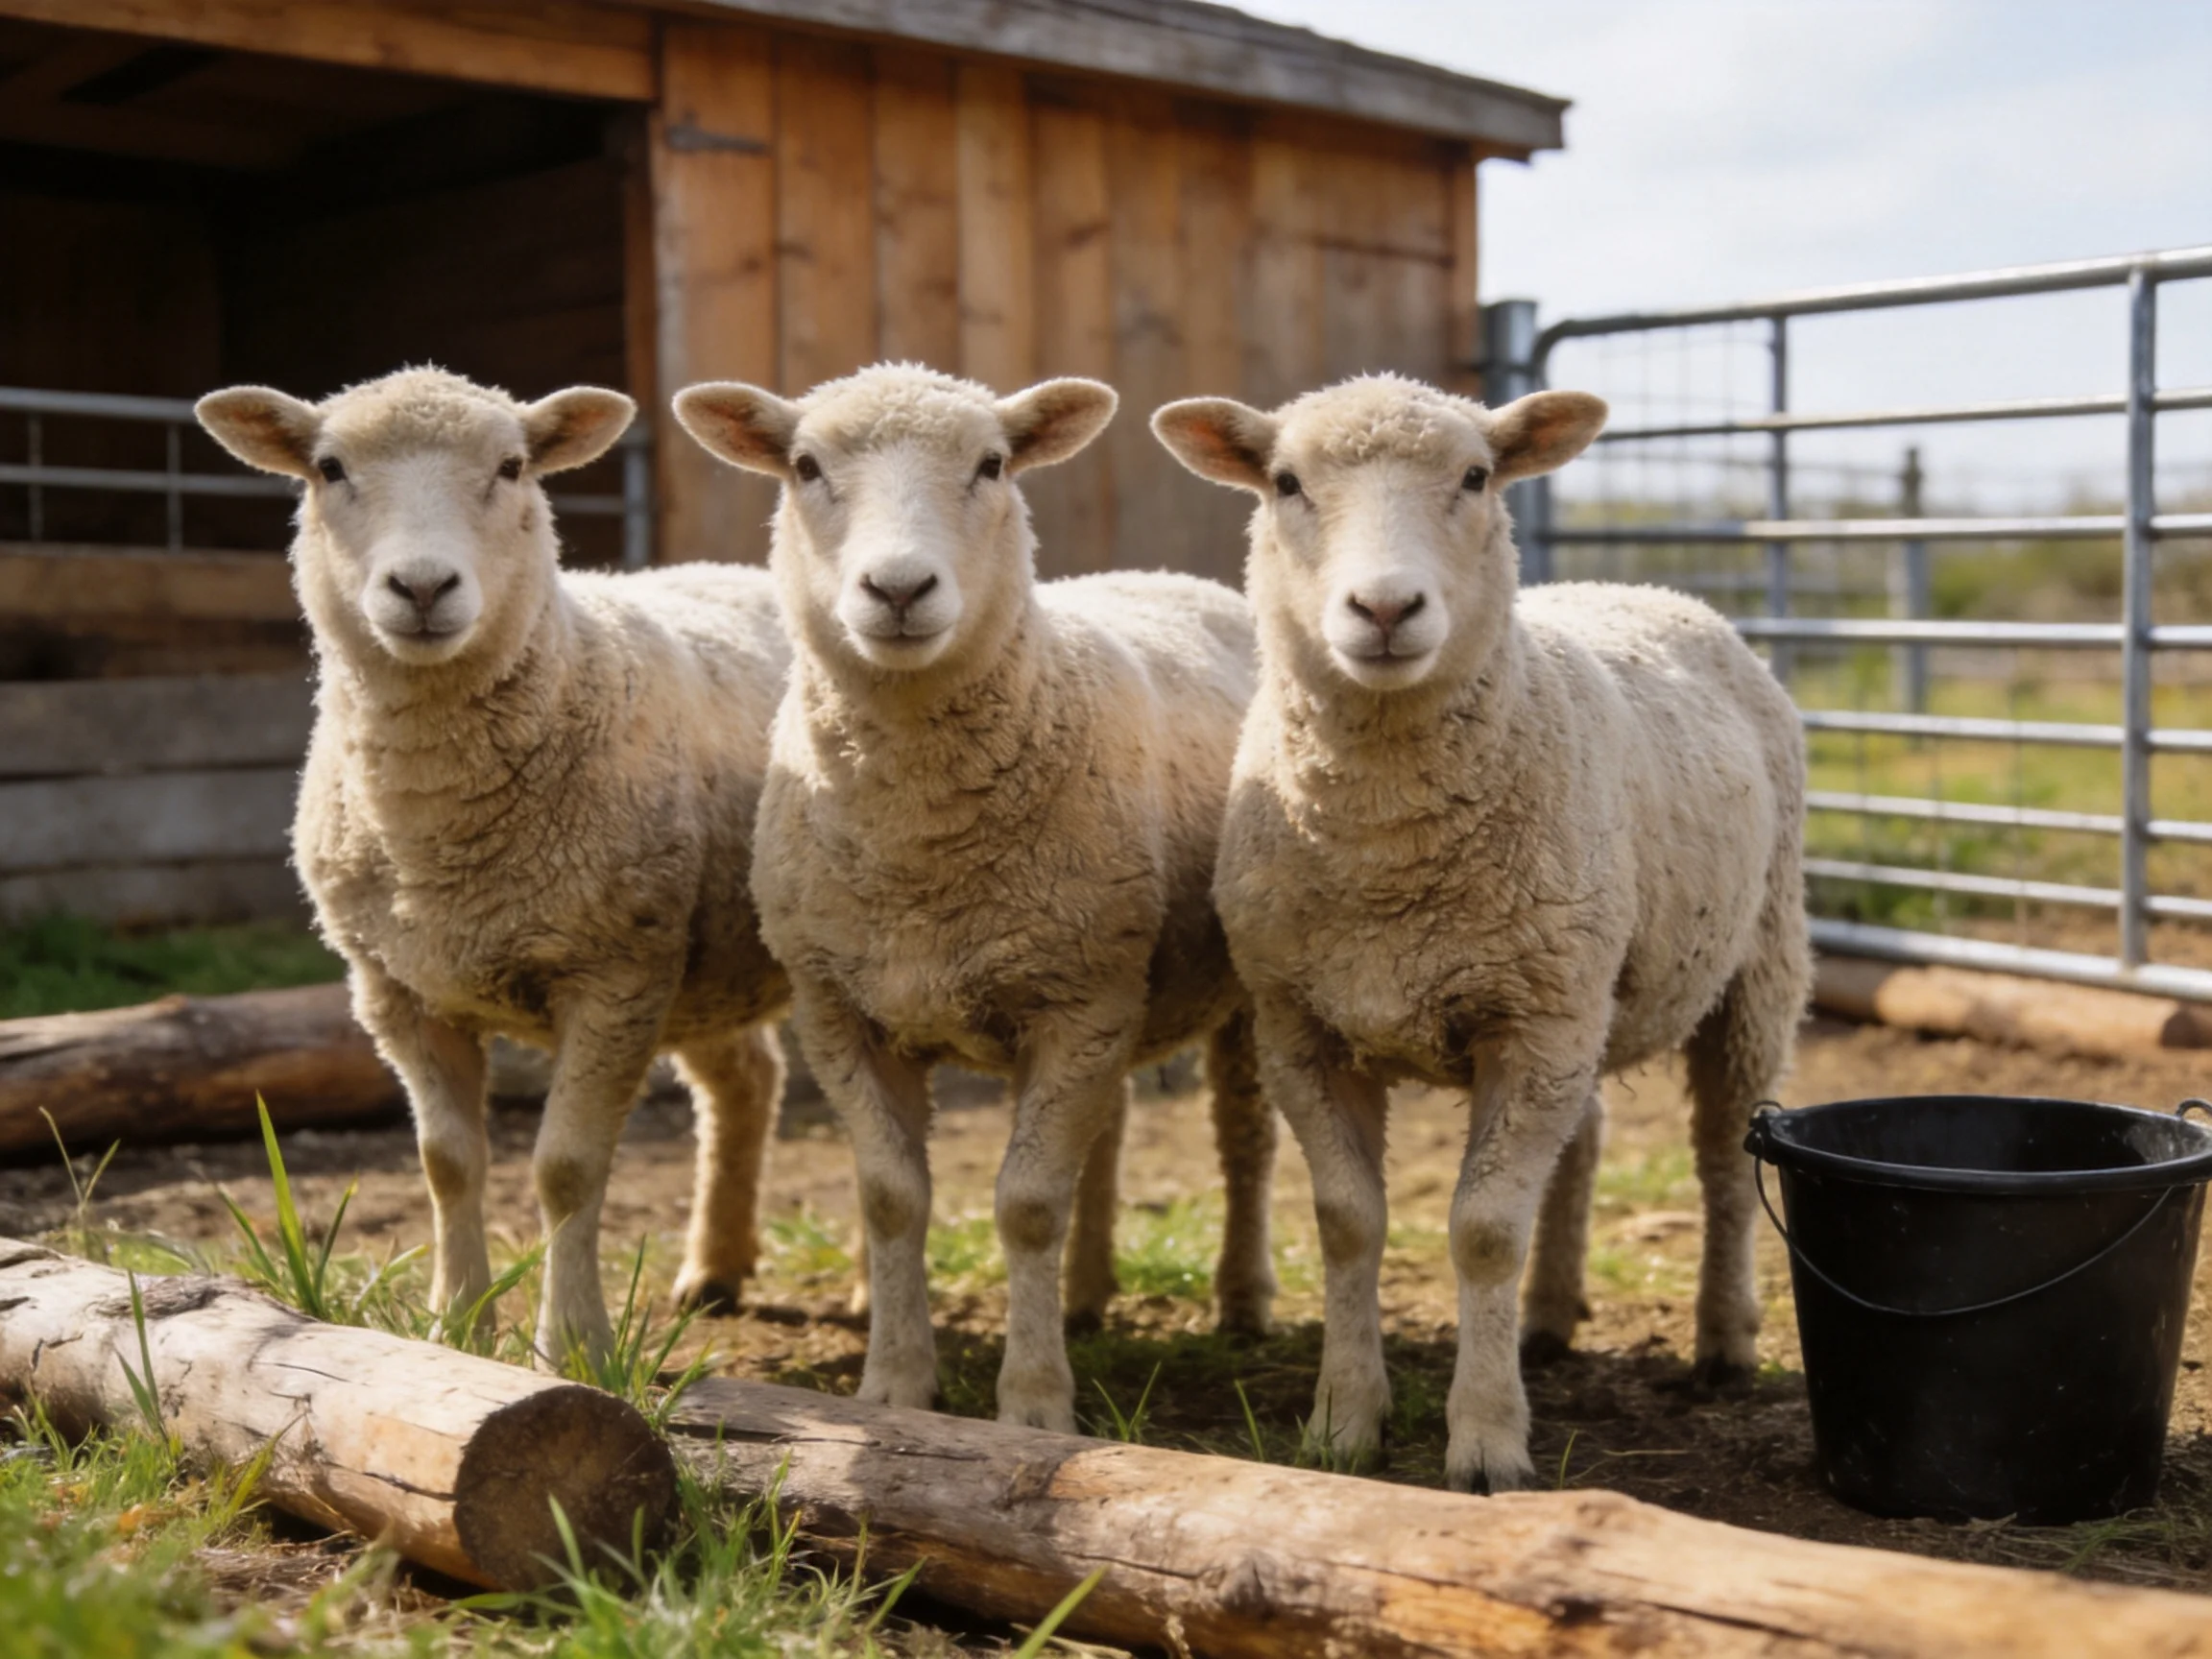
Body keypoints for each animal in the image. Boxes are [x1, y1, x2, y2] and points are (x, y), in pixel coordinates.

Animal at [195, 367, 793, 1365]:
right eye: (329, 469)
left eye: (512, 467)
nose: (422, 584)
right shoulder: (395, 988)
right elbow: (448, 1164)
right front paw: (457, 1323)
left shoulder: (617, 974)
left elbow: (566, 1169)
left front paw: (575, 1344)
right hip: (708, 958)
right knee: (745, 1080)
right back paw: (715, 1269)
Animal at [672, 364, 1278, 1430]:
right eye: (806, 466)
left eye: (992, 464)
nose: (899, 588)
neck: (920, 852)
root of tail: (1170, 577)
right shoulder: (843, 1008)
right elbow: (891, 1198)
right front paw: (896, 1384)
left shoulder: (1077, 1002)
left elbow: (1026, 1205)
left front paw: (1032, 1405)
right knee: (1107, 1131)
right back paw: (1085, 1297)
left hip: (1210, 984)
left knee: (1242, 1139)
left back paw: (1240, 1299)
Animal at [1153, 374, 1809, 1493]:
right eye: (1285, 482)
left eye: (1474, 476)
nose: (1383, 609)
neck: (1388, 857)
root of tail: (1655, 593)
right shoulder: (1304, 1029)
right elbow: (1348, 1224)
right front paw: (1344, 1423)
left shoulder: (1533, 1027)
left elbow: (1487, 1231)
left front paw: (1489, 1444)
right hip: (1581, 987)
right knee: (1585, 1139)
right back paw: (1547, 1323)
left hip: (1753, 963)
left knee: (1724, 1155)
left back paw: (1723, 1341)